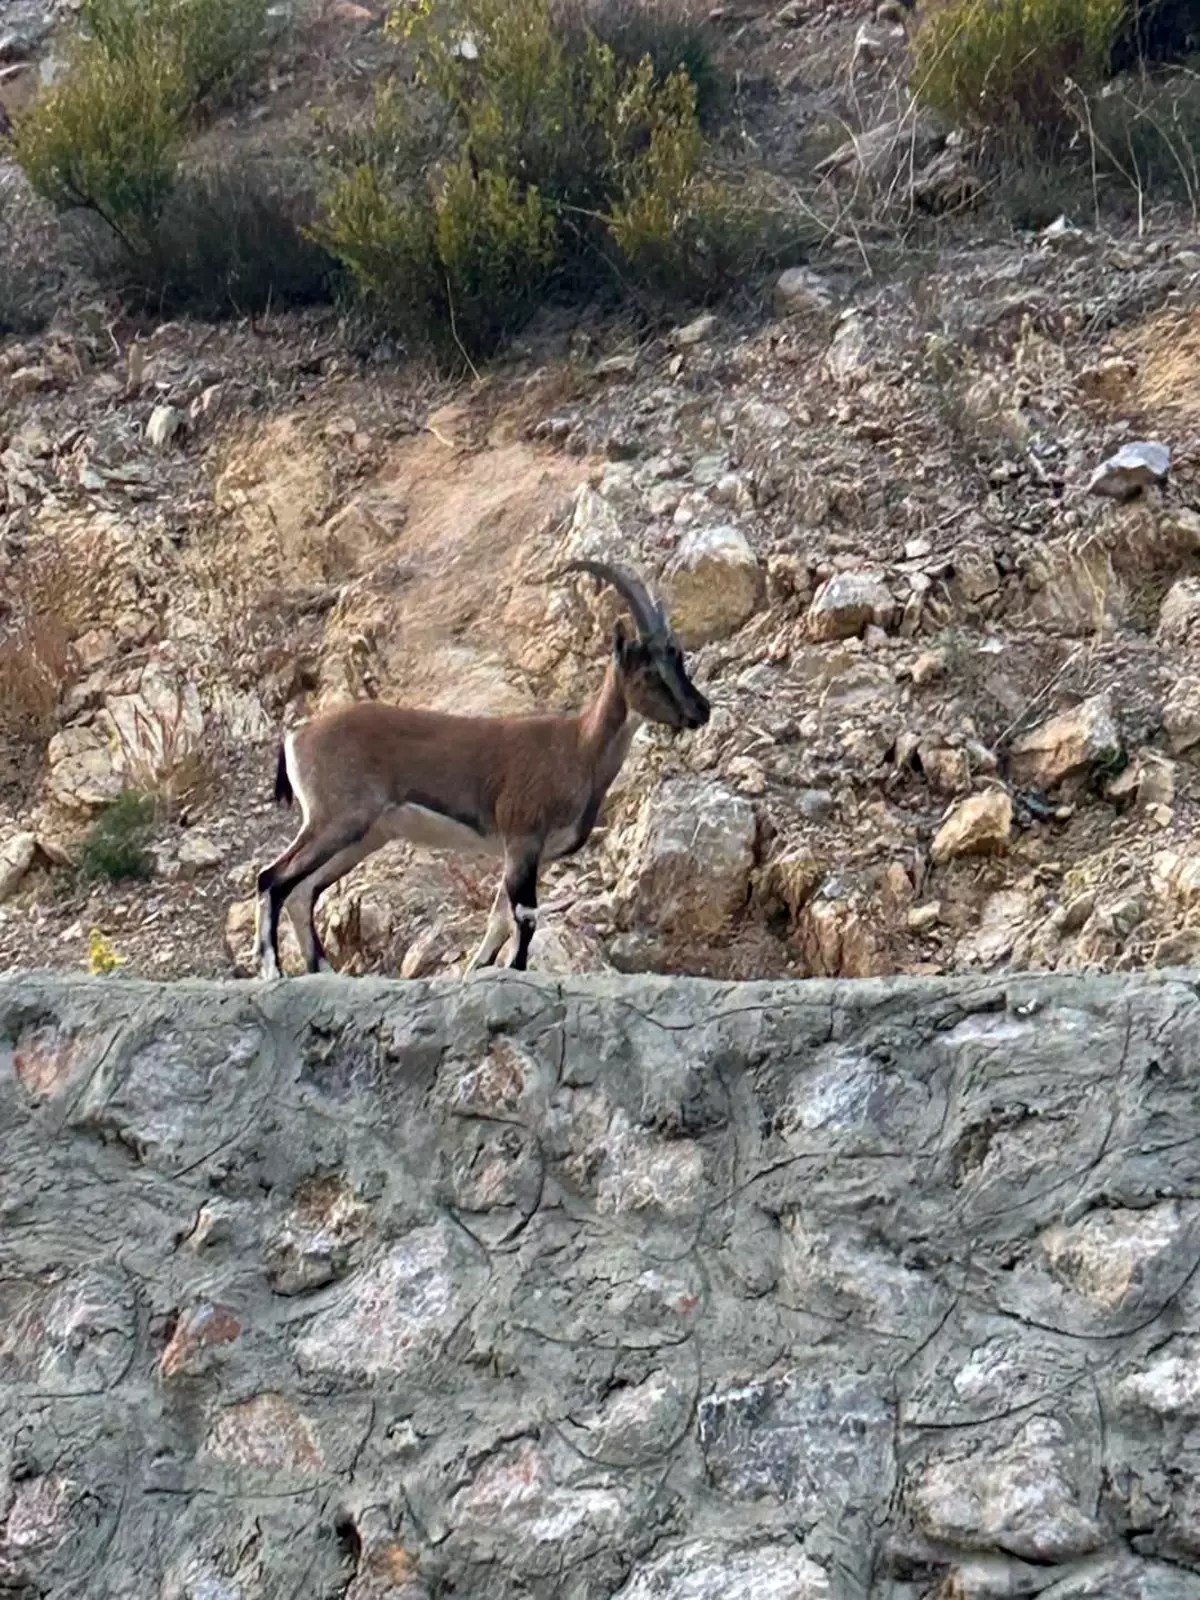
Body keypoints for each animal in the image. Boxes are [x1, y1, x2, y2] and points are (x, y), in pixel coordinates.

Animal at [251, 563, 704, 985]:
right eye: (649, 671)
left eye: (679, 659)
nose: (700, 711)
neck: (579, 746)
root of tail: (297, 737)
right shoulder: (522, 838)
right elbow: (524, 917)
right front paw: (516, 971)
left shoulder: (532, 854)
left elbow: (500, 918)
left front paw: (478, 969)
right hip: (339, 819)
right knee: (272, 878)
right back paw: (274, 971)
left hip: (364, 836)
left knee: (302, 890)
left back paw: (321, 970)